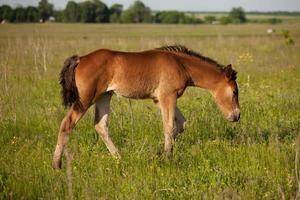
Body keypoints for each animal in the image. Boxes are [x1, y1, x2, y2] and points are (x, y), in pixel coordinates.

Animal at [51, 45, 239, 169]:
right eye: (234, 91)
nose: (236, 116)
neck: (180, 64)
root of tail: (80, 59)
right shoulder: (167, 96)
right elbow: (168, 126)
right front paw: (167, 158)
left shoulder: (162, 99)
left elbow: (180, 124)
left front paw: (160, 153)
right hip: (85, 99)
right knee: (66, 124)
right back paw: (56, 165)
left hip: (105, 96)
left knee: (100, 125)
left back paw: (119, 159)